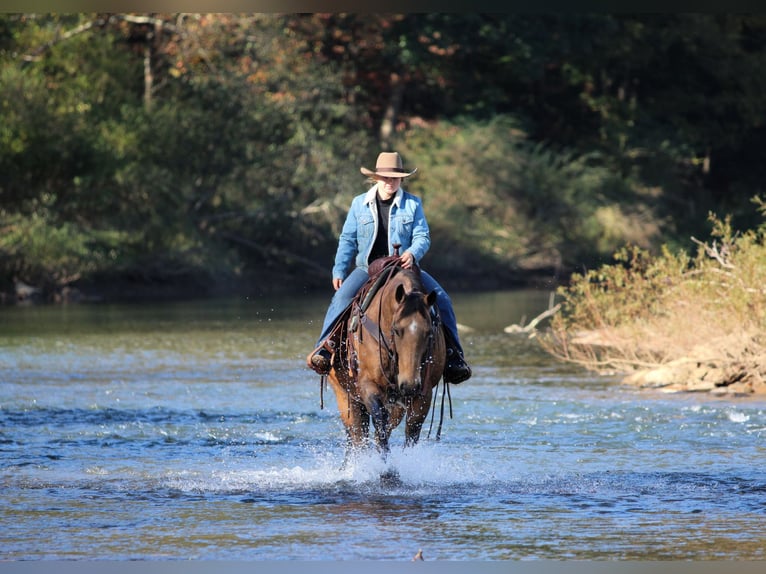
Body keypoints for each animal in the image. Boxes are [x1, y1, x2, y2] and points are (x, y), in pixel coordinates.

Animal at [325, 263, 446, 463]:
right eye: (396, 330)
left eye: (429, 332)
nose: (410, 384)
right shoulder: (368, 385)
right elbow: (379, 422)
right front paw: (385, 465)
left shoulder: (423, 393)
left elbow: (412, 430)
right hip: (345, 396)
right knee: (356, 436)